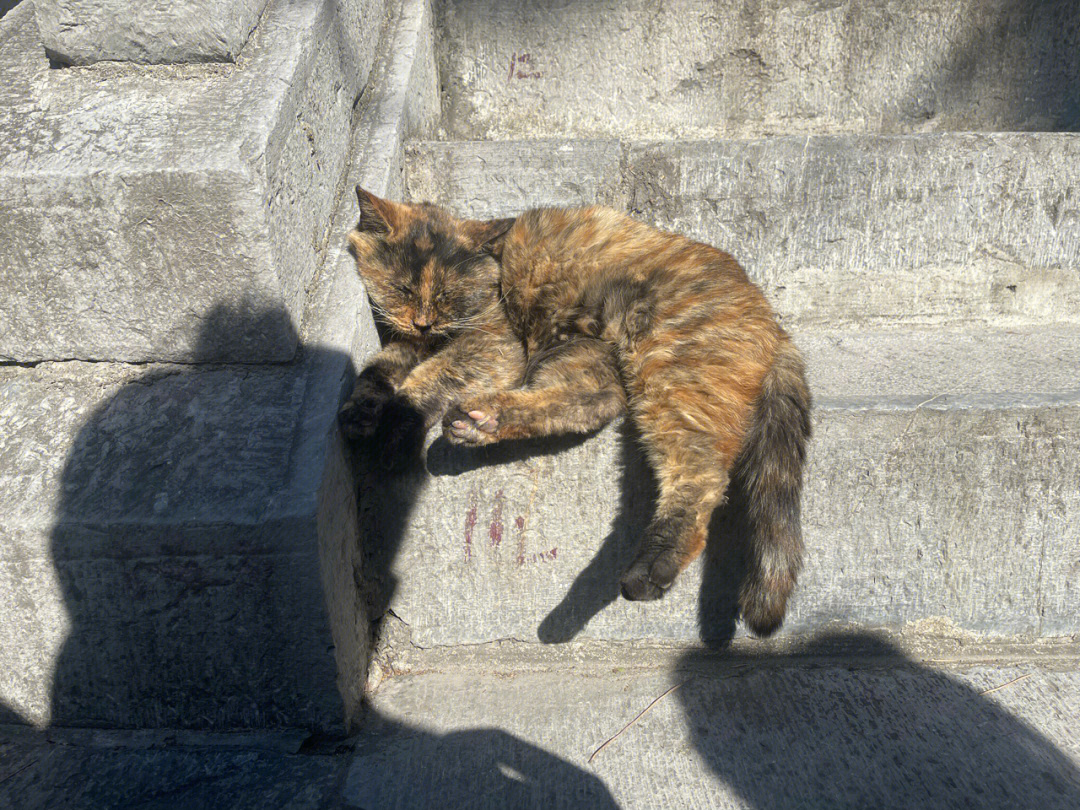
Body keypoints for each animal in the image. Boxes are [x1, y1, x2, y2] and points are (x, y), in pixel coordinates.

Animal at [343, 186, 812, 639]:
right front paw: (360, 414)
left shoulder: (495, 345)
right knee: (591, 402)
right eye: (402, 289)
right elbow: (378, 371)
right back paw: (478, 422)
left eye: (447, 295)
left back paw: (648, 571)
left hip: (667, 370)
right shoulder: (409, 346)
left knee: (701, 476)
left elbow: (427, 379)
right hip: (583, 354)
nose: (422, 321)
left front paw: (395, 428)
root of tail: (774, 322)